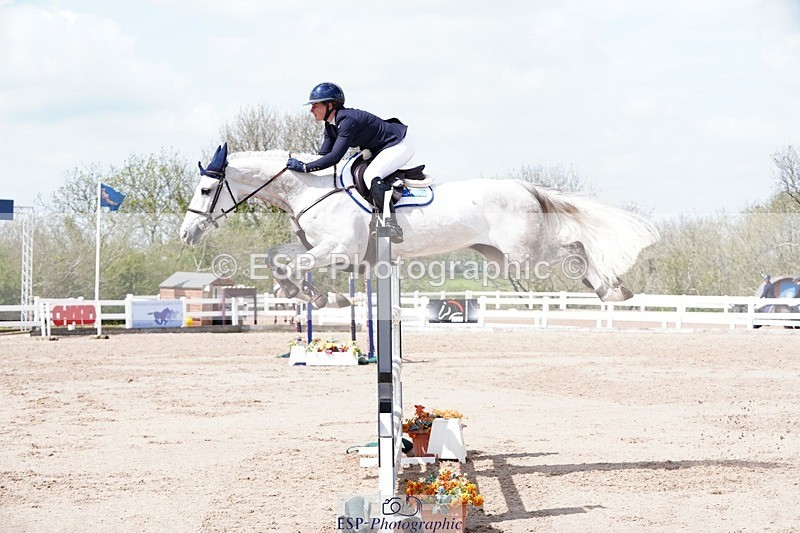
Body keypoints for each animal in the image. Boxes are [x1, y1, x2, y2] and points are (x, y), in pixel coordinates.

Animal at [180, 144, 659, 307]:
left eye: (205, 190)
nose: (187, 234)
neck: (308, 190)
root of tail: (523, 186)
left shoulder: (341, 251)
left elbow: (295, 266)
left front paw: (319, 295)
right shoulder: (323, 249)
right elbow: (277, 257)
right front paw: (300, 293)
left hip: (527, 254)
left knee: (575, 247)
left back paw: (611, 289)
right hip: (505, 258)